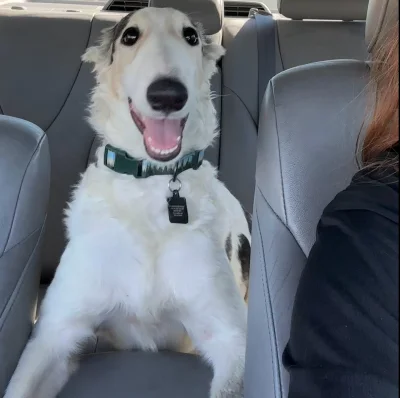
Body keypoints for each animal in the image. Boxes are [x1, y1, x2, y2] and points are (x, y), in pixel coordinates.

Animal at [4, 7, 250, 398]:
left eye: (191, 37)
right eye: (130, 36)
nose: (168, 95)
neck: (150, 187)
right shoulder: (55, 334)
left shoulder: (233, 338)